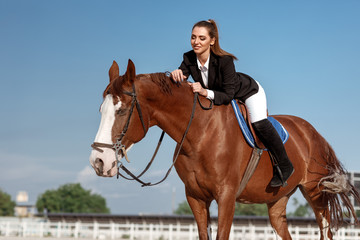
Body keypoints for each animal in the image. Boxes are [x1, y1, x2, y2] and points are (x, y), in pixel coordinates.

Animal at [89, 59, 360, 239]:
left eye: (122, 110)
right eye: (101, 110)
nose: (99, 161)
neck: (199, 133)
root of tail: (313, 133)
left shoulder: (226, 196)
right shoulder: (196, 197)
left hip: (315, 193)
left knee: (325, 228)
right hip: (277, 200)